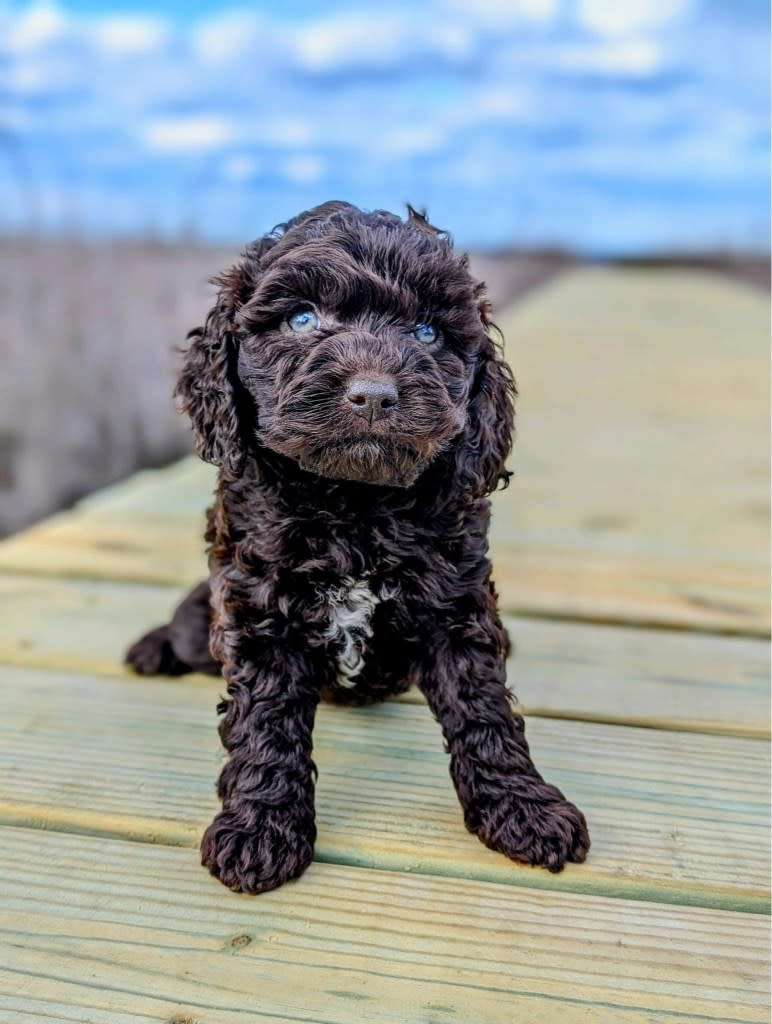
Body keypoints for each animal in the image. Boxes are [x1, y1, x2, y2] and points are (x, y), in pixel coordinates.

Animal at [126, 203, 585, 892]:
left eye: (427, 332)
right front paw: (260, 829)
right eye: (302, 319)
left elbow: (484, 712)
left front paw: (522, 807)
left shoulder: (457, 607)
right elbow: (265, 723)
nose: (373, 395)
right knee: (184, 626)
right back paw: (153, 646)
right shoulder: (260, 613)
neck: (354, 507)